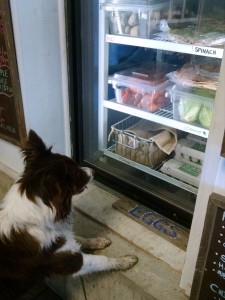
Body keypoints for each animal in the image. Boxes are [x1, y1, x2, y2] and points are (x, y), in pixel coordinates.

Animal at [0, 130, 138, 298]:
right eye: (76, 172)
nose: (93, 171)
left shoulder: (61, 238)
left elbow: (79, 238)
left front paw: (98, 241)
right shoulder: (70, 261)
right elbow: (101, 260)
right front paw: (124, 261)